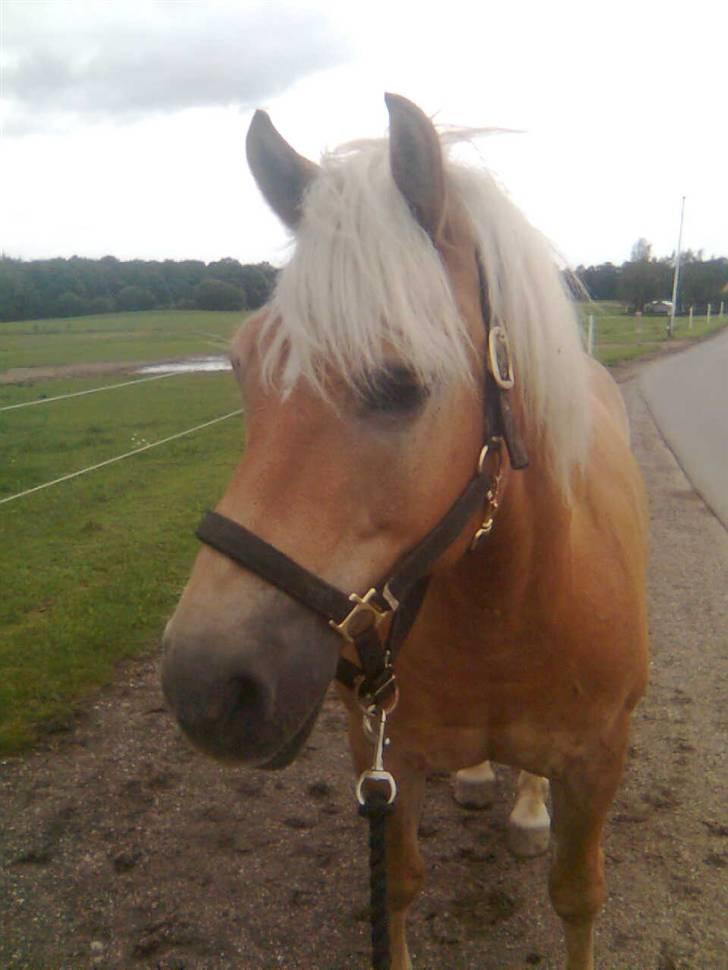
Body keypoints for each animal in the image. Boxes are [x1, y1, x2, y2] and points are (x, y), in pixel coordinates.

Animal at [164, 92, 648, 968]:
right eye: (242, 369)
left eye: (400, 384)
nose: (205, 688)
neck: (506, 609)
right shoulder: (384, 758)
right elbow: (395, 888)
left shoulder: (598, 763)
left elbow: (577, 895)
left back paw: (527, 807)